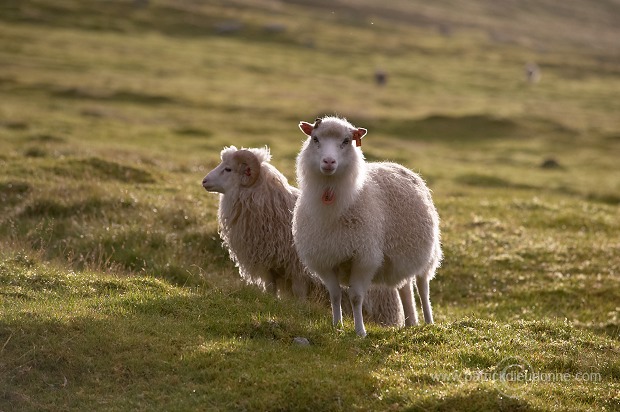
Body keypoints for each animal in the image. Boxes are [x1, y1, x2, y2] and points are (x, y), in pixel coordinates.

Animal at [202, 146, 406, 326]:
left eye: (228, 169)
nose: (204, 181)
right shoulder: (269, 265)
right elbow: (270, 289)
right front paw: (272, 303)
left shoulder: (298, 268)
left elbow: (299, 292)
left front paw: (300, 310)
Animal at [292, 114, 440, 336]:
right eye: (315, 139)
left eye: (346, 141)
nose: (328, 161)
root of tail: (399, 166)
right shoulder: (326, 258)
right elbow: (335, 295)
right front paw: (337, 326)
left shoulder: (363, 258)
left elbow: (355, 297)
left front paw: (360, 331)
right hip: (400, 258)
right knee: (405, 287)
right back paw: (409, 324)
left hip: (428, 254)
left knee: (423, 288)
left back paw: (429, 322)